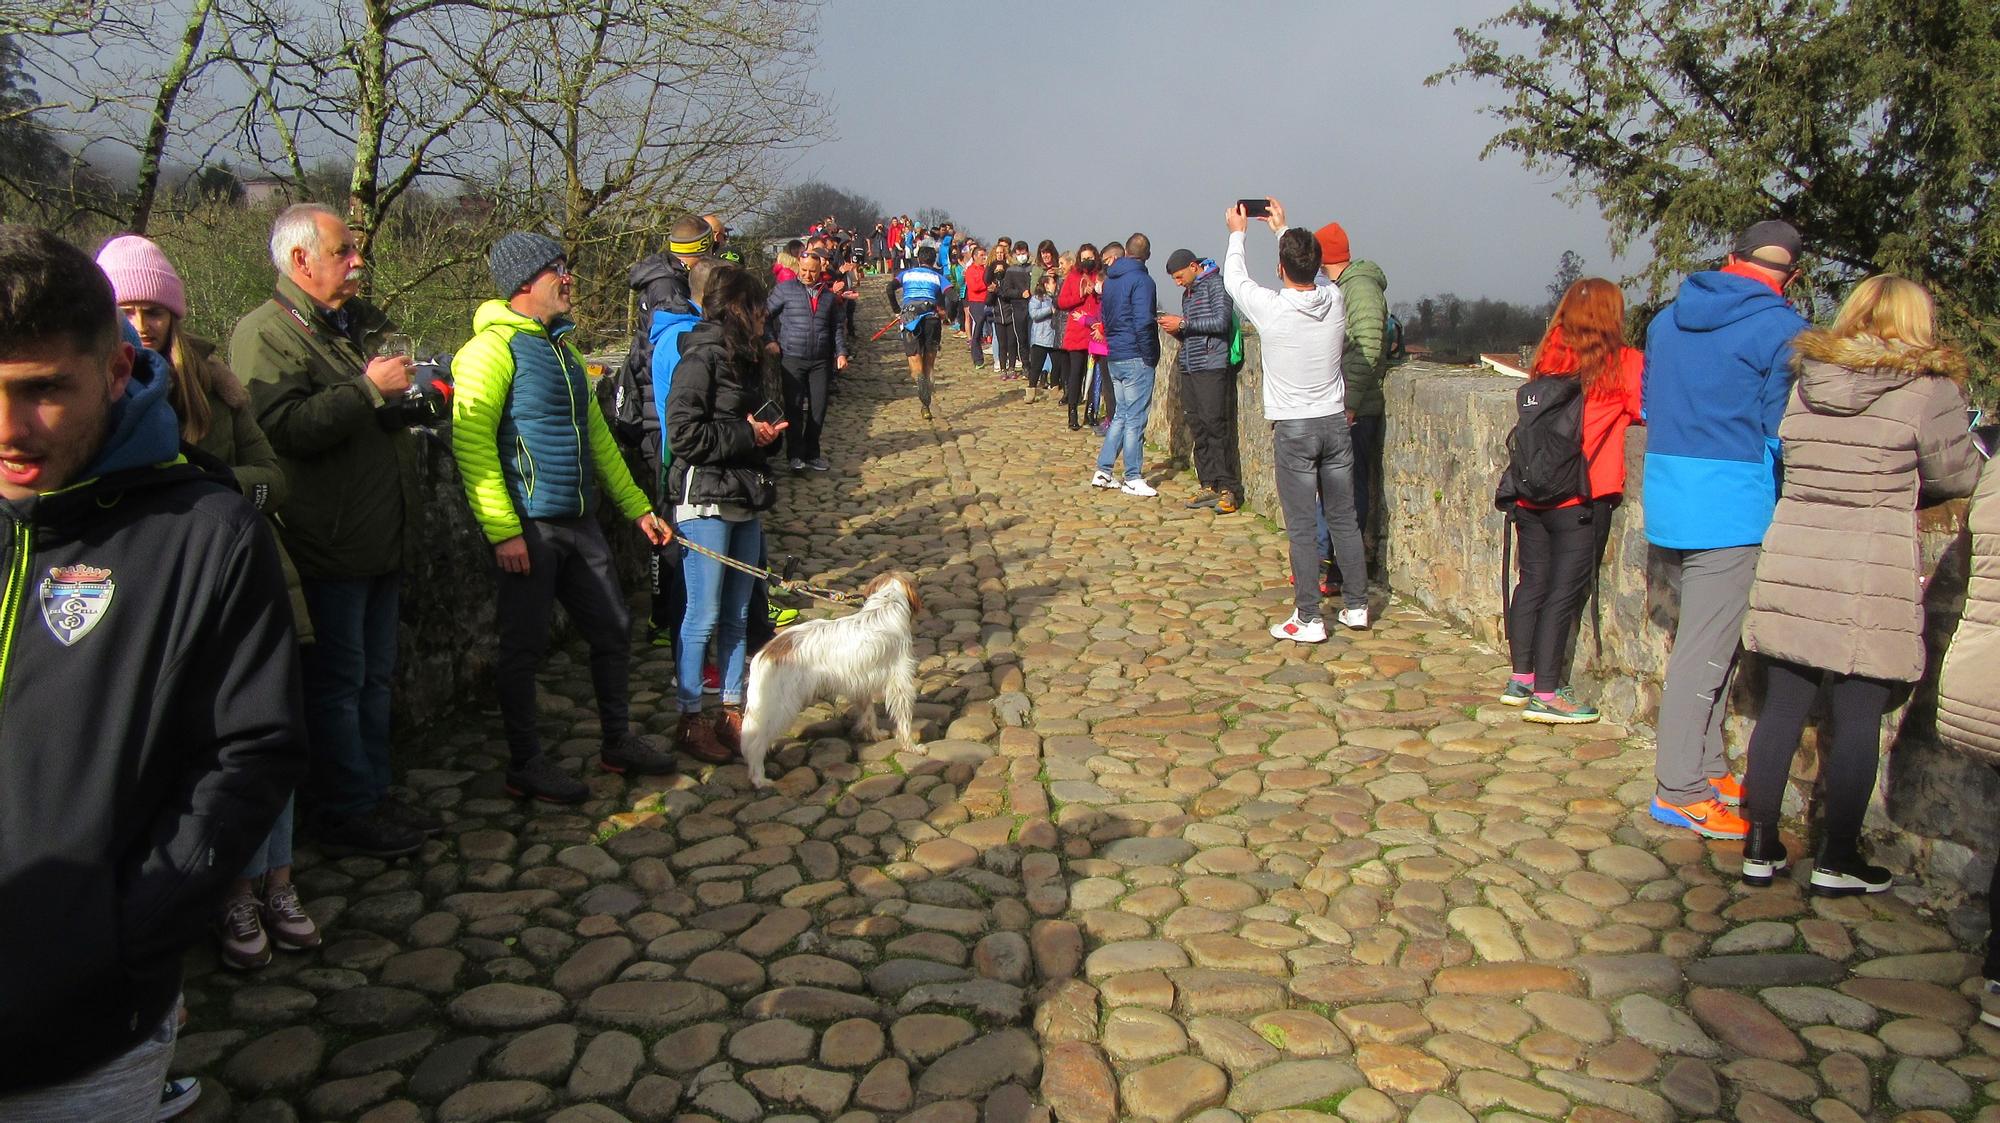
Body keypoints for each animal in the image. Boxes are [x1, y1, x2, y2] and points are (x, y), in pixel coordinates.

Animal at [740, 567, 924, 787]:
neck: (886, 604)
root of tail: (764, 653)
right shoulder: (900, 683)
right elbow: (904, 722)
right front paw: (912, 747)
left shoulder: (861, 684)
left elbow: (868, 714)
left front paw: (874, 734)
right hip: (780, 709)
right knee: (755, 745)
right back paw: (760, 779)